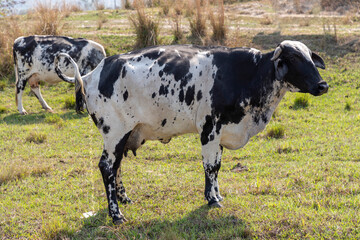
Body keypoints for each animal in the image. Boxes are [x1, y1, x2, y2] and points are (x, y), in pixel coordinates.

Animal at [54, 40, 330, 224]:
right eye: (294, 59)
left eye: (310, 58)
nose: (323, 85)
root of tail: (91, 74)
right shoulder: (209, 129)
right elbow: (210, 167)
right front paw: (212, 199)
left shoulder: (220, 134)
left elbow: (217, 167)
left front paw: (217, 195)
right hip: (115, 133)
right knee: (107, 167)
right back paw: (116, 214)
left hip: (122, 136)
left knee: (116, 166)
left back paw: (123, 199)